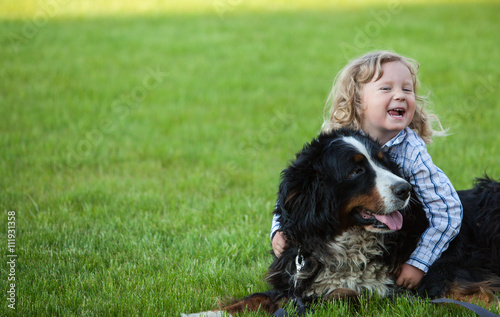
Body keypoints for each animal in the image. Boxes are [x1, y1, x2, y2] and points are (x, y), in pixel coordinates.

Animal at [184, 127, 500, 314]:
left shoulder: (398, 292)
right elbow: (256, 298)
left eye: (384, 161)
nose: (406, 189)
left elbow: (341, 294)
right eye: (355, 171)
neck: (346, 242)